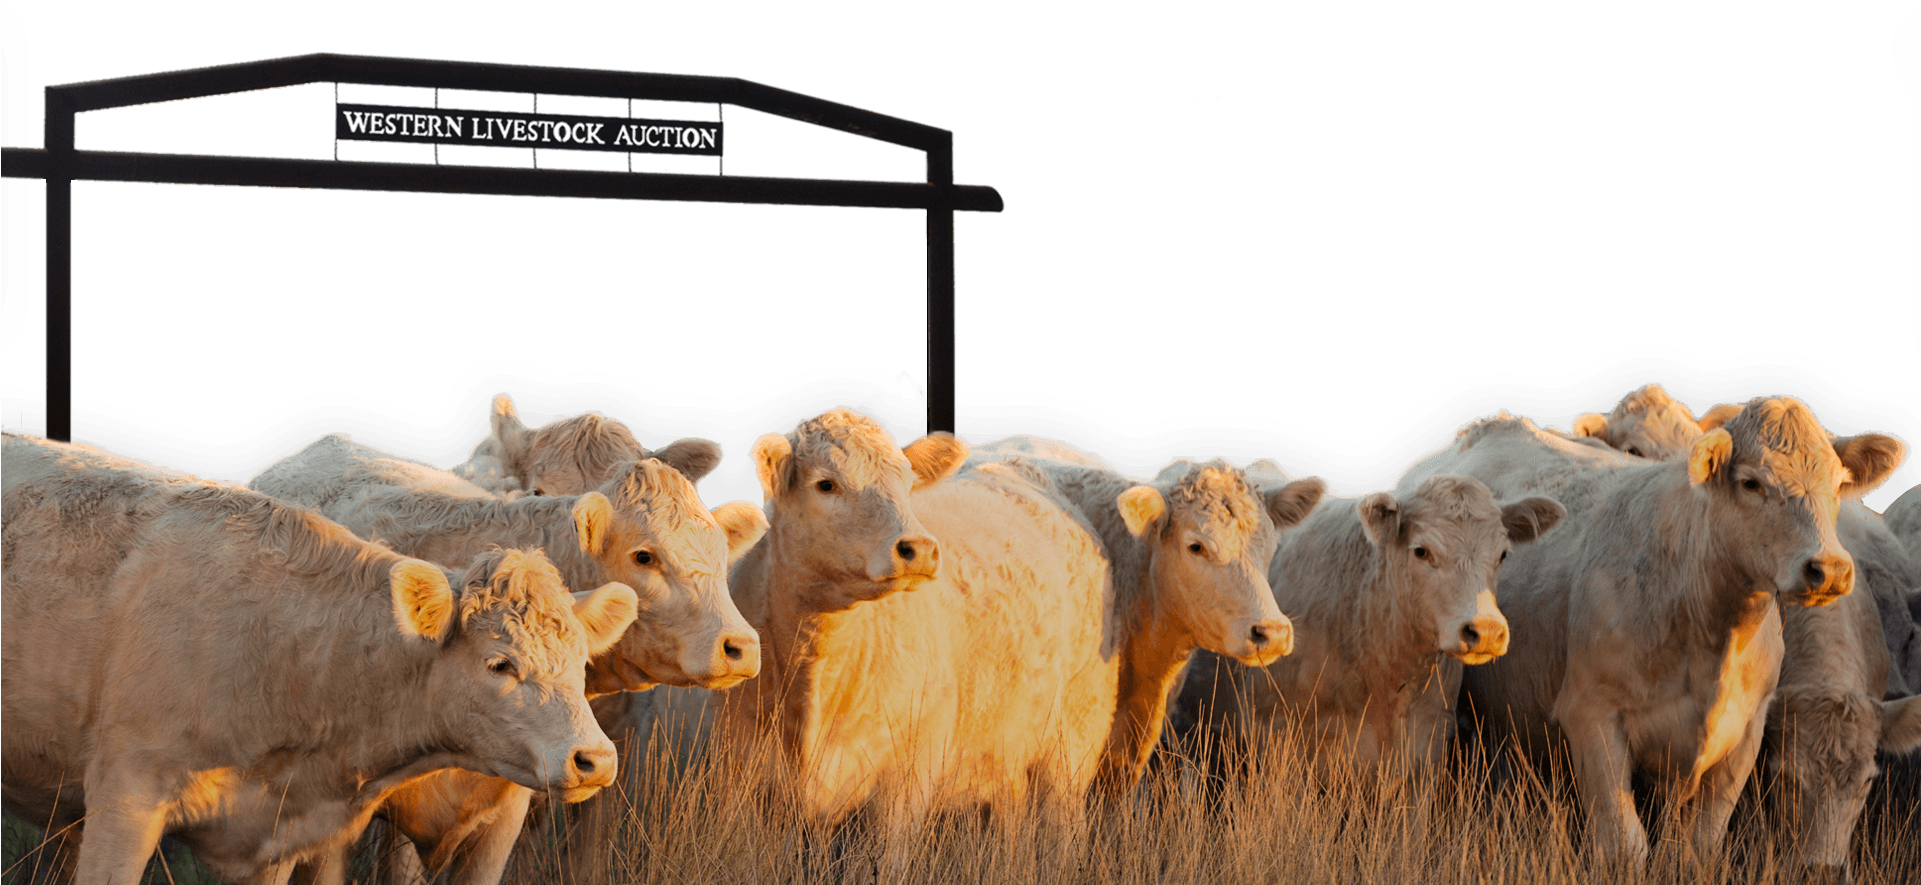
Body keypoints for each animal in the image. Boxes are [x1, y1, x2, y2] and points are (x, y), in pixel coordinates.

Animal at [1391, 398, 1904, 870]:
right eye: (1752, 482)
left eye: (1837, 483)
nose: (1829, 569)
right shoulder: (1592, 716)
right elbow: (1624, 846)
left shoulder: (1744, 737)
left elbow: (1696, 850)